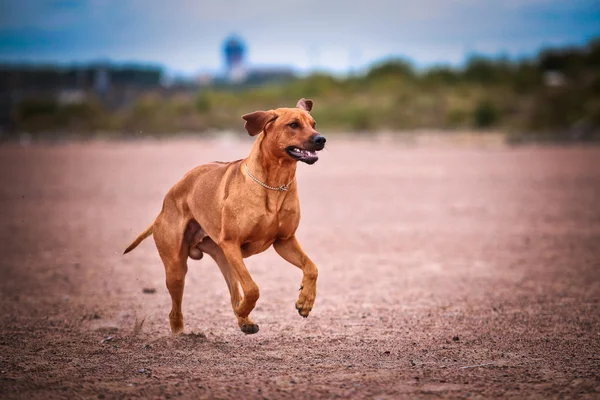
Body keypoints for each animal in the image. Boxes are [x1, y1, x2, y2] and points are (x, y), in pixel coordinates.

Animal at [122, 97, 326, 334]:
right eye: (293, 125)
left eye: (313, 124)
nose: (321, 138)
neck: (275, 184)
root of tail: (165, 204)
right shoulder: (231, 243)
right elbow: (253, 288)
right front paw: (245, 308)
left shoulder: (284, 241)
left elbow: (312, 268)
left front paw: (305, 301)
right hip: (177, 266)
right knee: (175, 308)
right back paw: (182, 332)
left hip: (225, 259)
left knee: (234, 292)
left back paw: (245, 320)